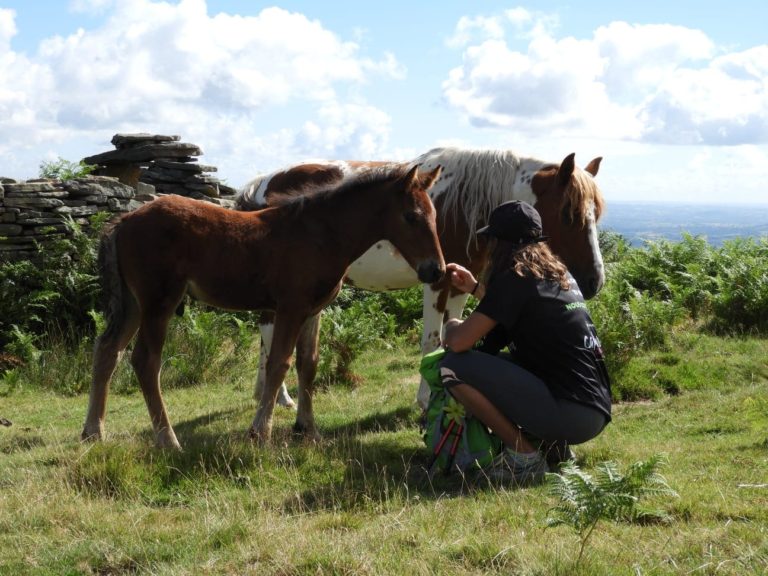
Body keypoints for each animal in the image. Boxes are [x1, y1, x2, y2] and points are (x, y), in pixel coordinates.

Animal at [81, 164, 444, 448]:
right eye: (411, 217)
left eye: (435, 215)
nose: (436, 270)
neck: (321, 233)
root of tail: (125, 219)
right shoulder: (290, 308)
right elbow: (279, 363)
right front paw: (260, 433)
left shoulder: (313, 311)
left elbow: (308, 364)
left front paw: (308, 431)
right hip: (159, 302)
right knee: (145, 361)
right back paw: (168, 440)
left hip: (133, 303)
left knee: (108, 350)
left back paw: (93, 432)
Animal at [237, 148, 608, 410]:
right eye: (569, 214)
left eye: (597, 214)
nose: (594, 281)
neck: (467, 205)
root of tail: (264, 181)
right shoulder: (437, 282)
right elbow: (432, 341)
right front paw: (425, 400)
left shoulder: (458, 284)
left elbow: (451, 338)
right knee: (269, 332)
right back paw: (280, 397)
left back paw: (264, 392)